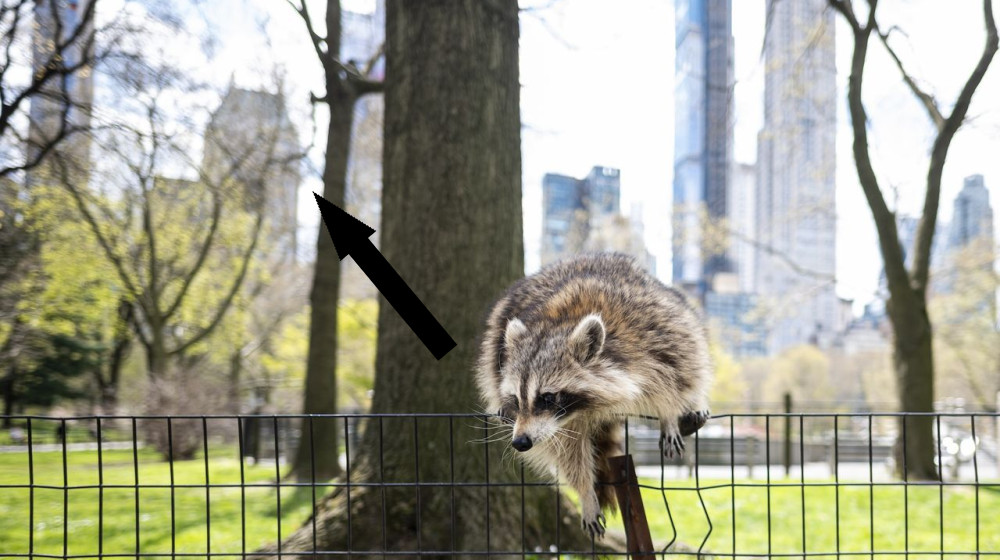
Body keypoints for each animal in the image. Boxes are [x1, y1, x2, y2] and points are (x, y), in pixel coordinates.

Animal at [476, 253, 712, 538]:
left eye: (547, 397)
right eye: (516, 399)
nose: (520, 442)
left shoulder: (653, 332)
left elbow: (676, 371)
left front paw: (668, 412)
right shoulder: (562, 423)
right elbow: (569, 453)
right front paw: (585, 493)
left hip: (675, 308)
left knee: (695, 354)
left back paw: (695, 402)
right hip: (496, 337)